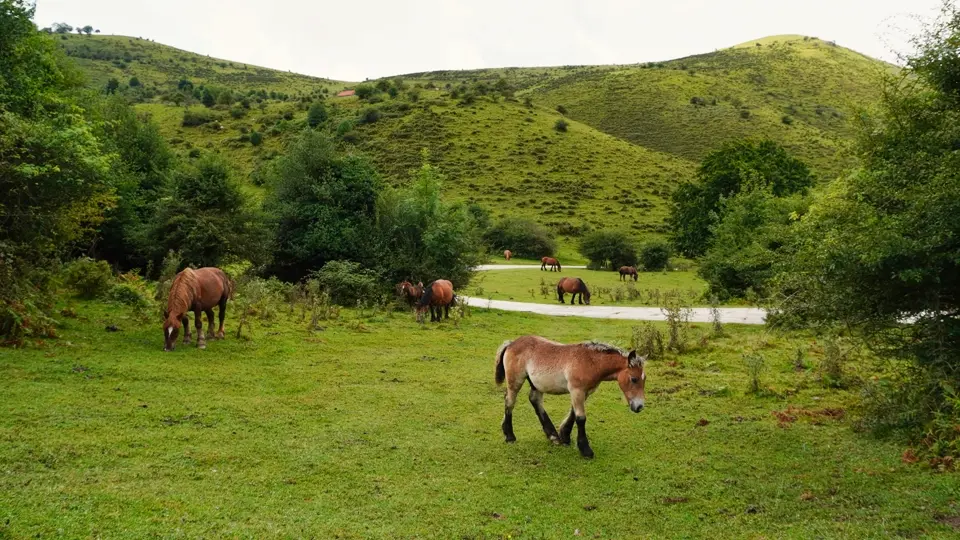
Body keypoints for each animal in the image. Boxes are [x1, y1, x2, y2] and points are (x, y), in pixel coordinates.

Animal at [496, 340, 644, 458]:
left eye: (644, 379)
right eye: (634, 379)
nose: (640, 406)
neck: (590, 362)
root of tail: (511, 343)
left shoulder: (585, 392)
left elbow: (573, 413)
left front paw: (565, 436)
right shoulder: (577, 390)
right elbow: (580, 418)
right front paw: (585, 449)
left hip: (536, 384)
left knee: (534, 400)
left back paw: (553, 435)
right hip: (515, 381)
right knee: (510, 401)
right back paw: (509, 436)